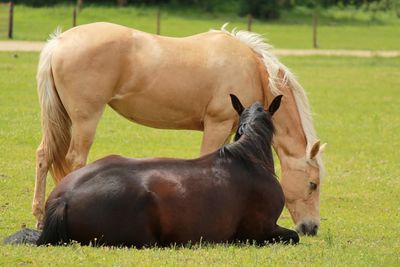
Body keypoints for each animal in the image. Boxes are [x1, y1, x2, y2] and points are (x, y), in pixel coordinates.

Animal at [33, 23, 324, 237]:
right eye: (313, 184)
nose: (311, 228)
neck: (252, 68)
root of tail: (59, 42)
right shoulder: (217, 125)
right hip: (86, 119)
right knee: (74, 159)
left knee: (44, 155)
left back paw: (38, 217)